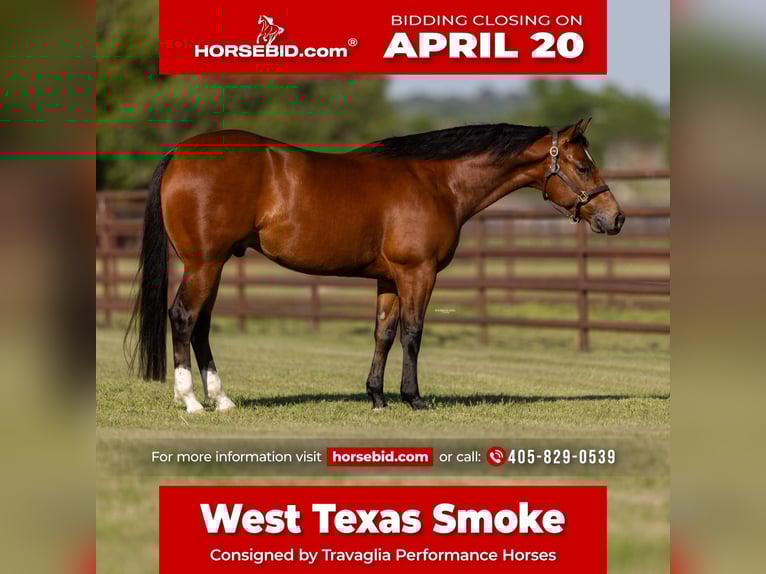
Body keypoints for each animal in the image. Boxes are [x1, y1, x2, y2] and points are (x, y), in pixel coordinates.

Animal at [124, 119, 624, 413]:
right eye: (583, 166)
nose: (615, 217)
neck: (436, 181)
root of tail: (180, 154)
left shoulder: (388, 278)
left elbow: (383, 334)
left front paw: (377, 397)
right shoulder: (417, 273)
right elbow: (413, 334)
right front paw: (414, 398)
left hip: (214, 265)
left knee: (201, 325)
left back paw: (222, 399)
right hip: (204, 264)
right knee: (184, 318)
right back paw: (191, 401)